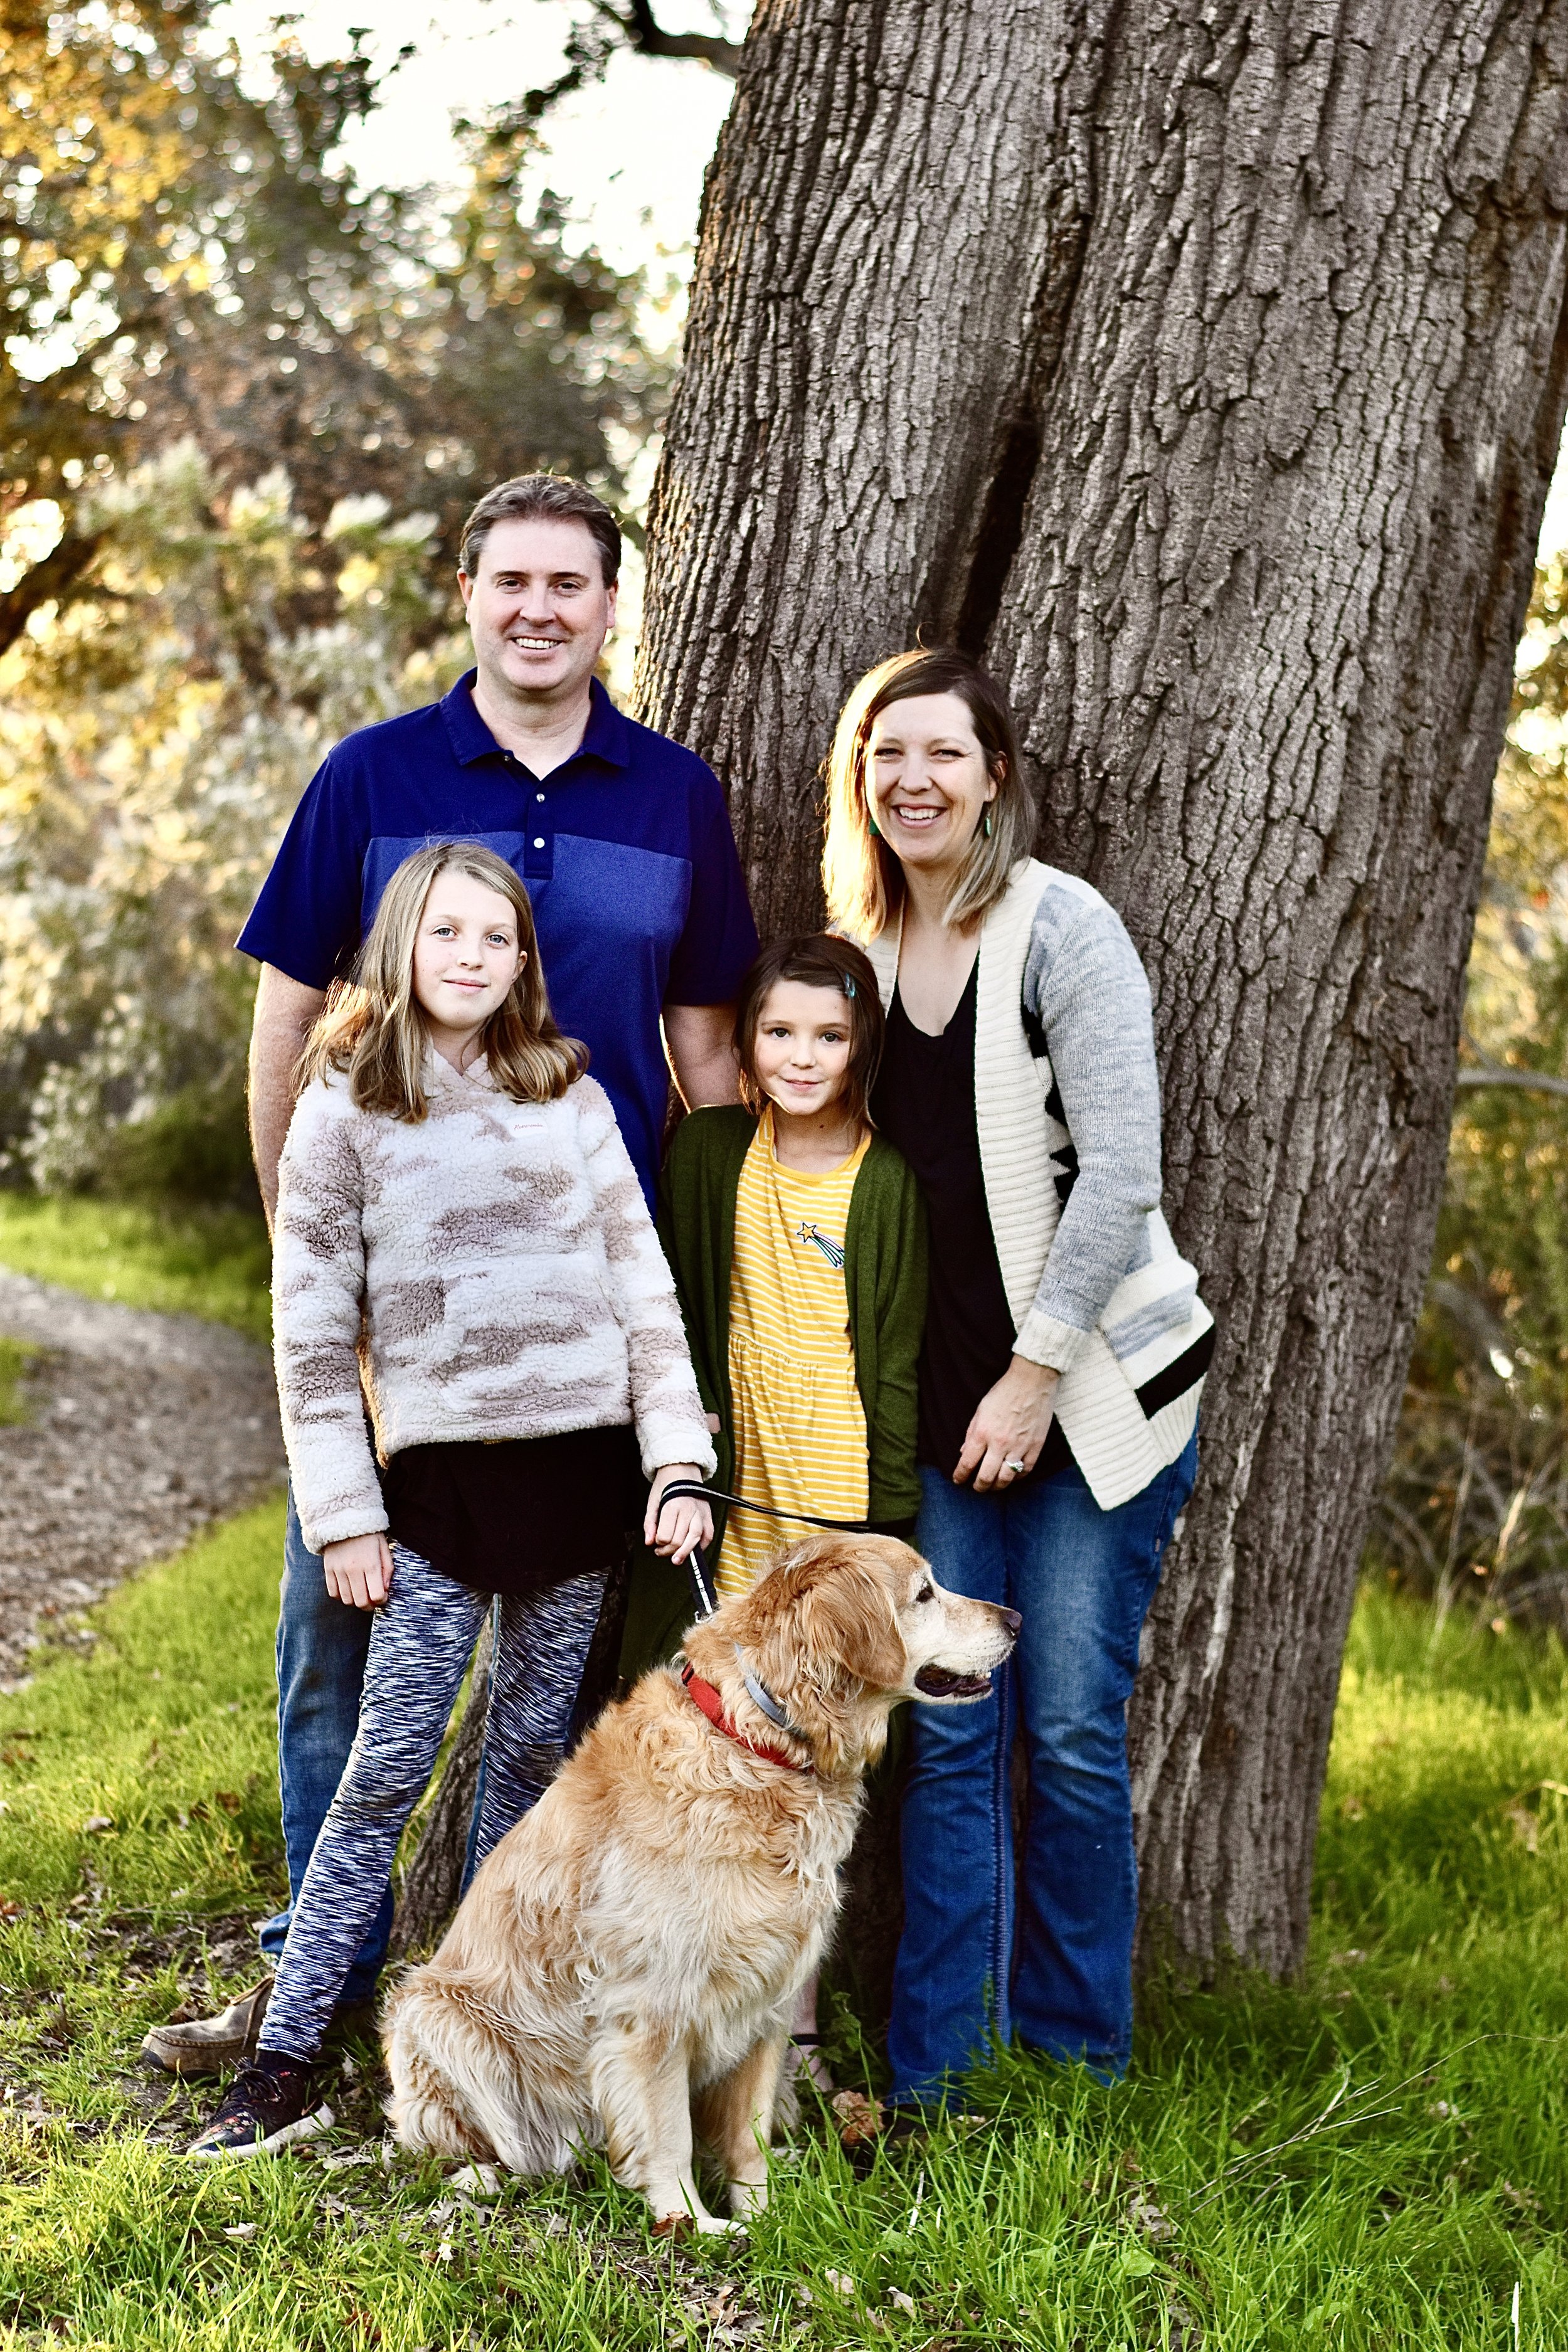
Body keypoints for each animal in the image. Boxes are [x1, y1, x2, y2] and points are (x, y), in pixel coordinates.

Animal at [383, 1531, 1018, 2233]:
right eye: (925, 1593)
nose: (1016, 1620)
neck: (760, 1745)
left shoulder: (769, 2000)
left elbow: (748, 2134)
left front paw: (764, 2216)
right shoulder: (653, 2008)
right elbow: (668, 2134)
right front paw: (690, 2222)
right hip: (439, 2016)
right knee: (466, 2145)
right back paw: (489, 2176)